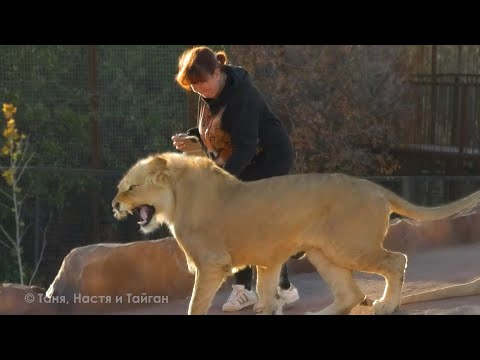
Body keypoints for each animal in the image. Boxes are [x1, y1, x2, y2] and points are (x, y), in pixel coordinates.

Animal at [112, 152, 480, 316]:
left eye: (131, 187)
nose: (114, 204)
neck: (176, 197)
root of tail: (376, 187)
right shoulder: (268, 259)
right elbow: (266, 292)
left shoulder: (211, 263)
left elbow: (197, 303)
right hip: (324, 252)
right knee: (350, 293)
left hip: (351, 247)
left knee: (396, 260)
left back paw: (387, 304)